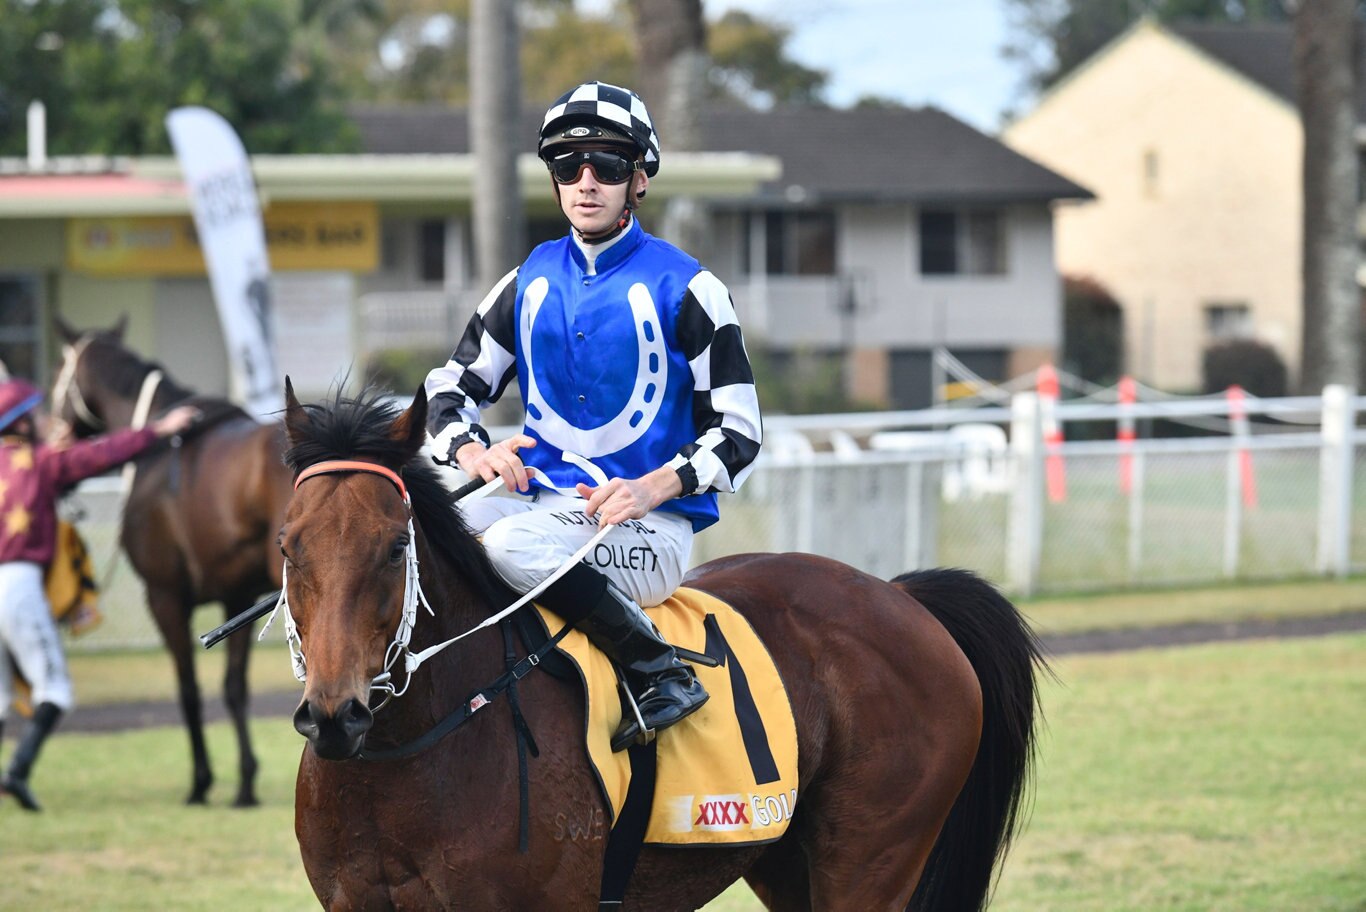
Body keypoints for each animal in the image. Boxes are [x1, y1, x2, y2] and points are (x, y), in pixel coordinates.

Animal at [51, 320, 290, 802]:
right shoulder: (239, 597)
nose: (52, 430)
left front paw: (201, 782)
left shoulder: (164, 597)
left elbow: (189, 689)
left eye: (58, 375)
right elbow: (234, 687)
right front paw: (245, 784)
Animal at [280, 387, 1043, 912]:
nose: (335, 715)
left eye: (395, 547)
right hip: (787, 863)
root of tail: (904, 597)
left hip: (869, 862)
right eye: (289, 546)